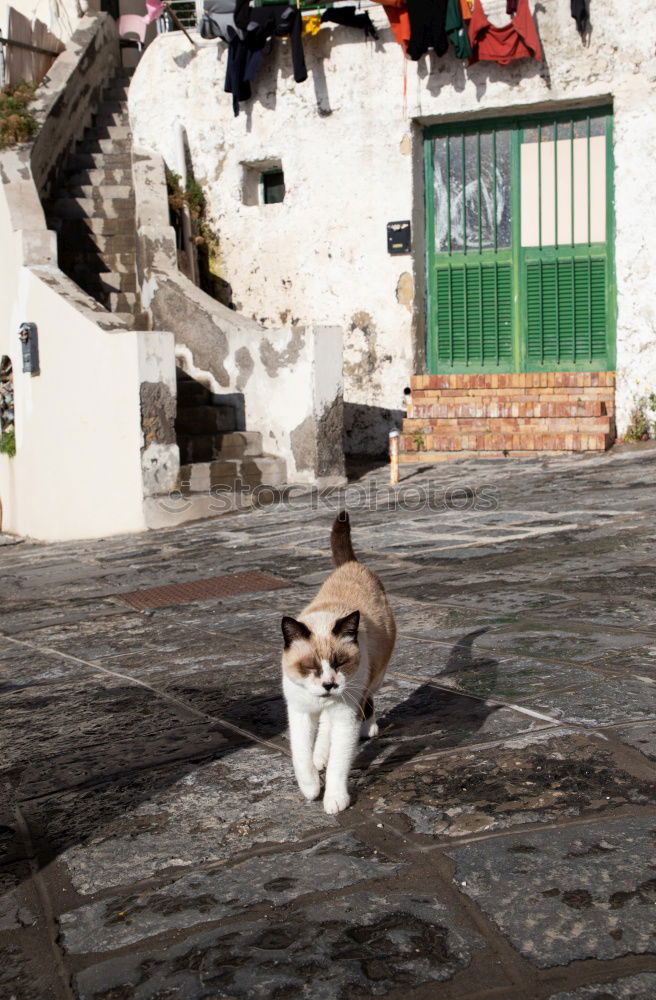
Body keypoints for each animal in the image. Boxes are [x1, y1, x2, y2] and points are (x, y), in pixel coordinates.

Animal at [280, 516, 394, 812]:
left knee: (366, 703)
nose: (329, 684)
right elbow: (301, 755)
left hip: (372, 679)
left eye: (340, 662)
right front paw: (310, 788)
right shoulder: (300, 712)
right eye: (310, 666)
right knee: (323, 730)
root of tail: (350, 565)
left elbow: (338, 764)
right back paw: (320, 755)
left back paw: (368, 728)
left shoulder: (345, 715)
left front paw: (334, 800)